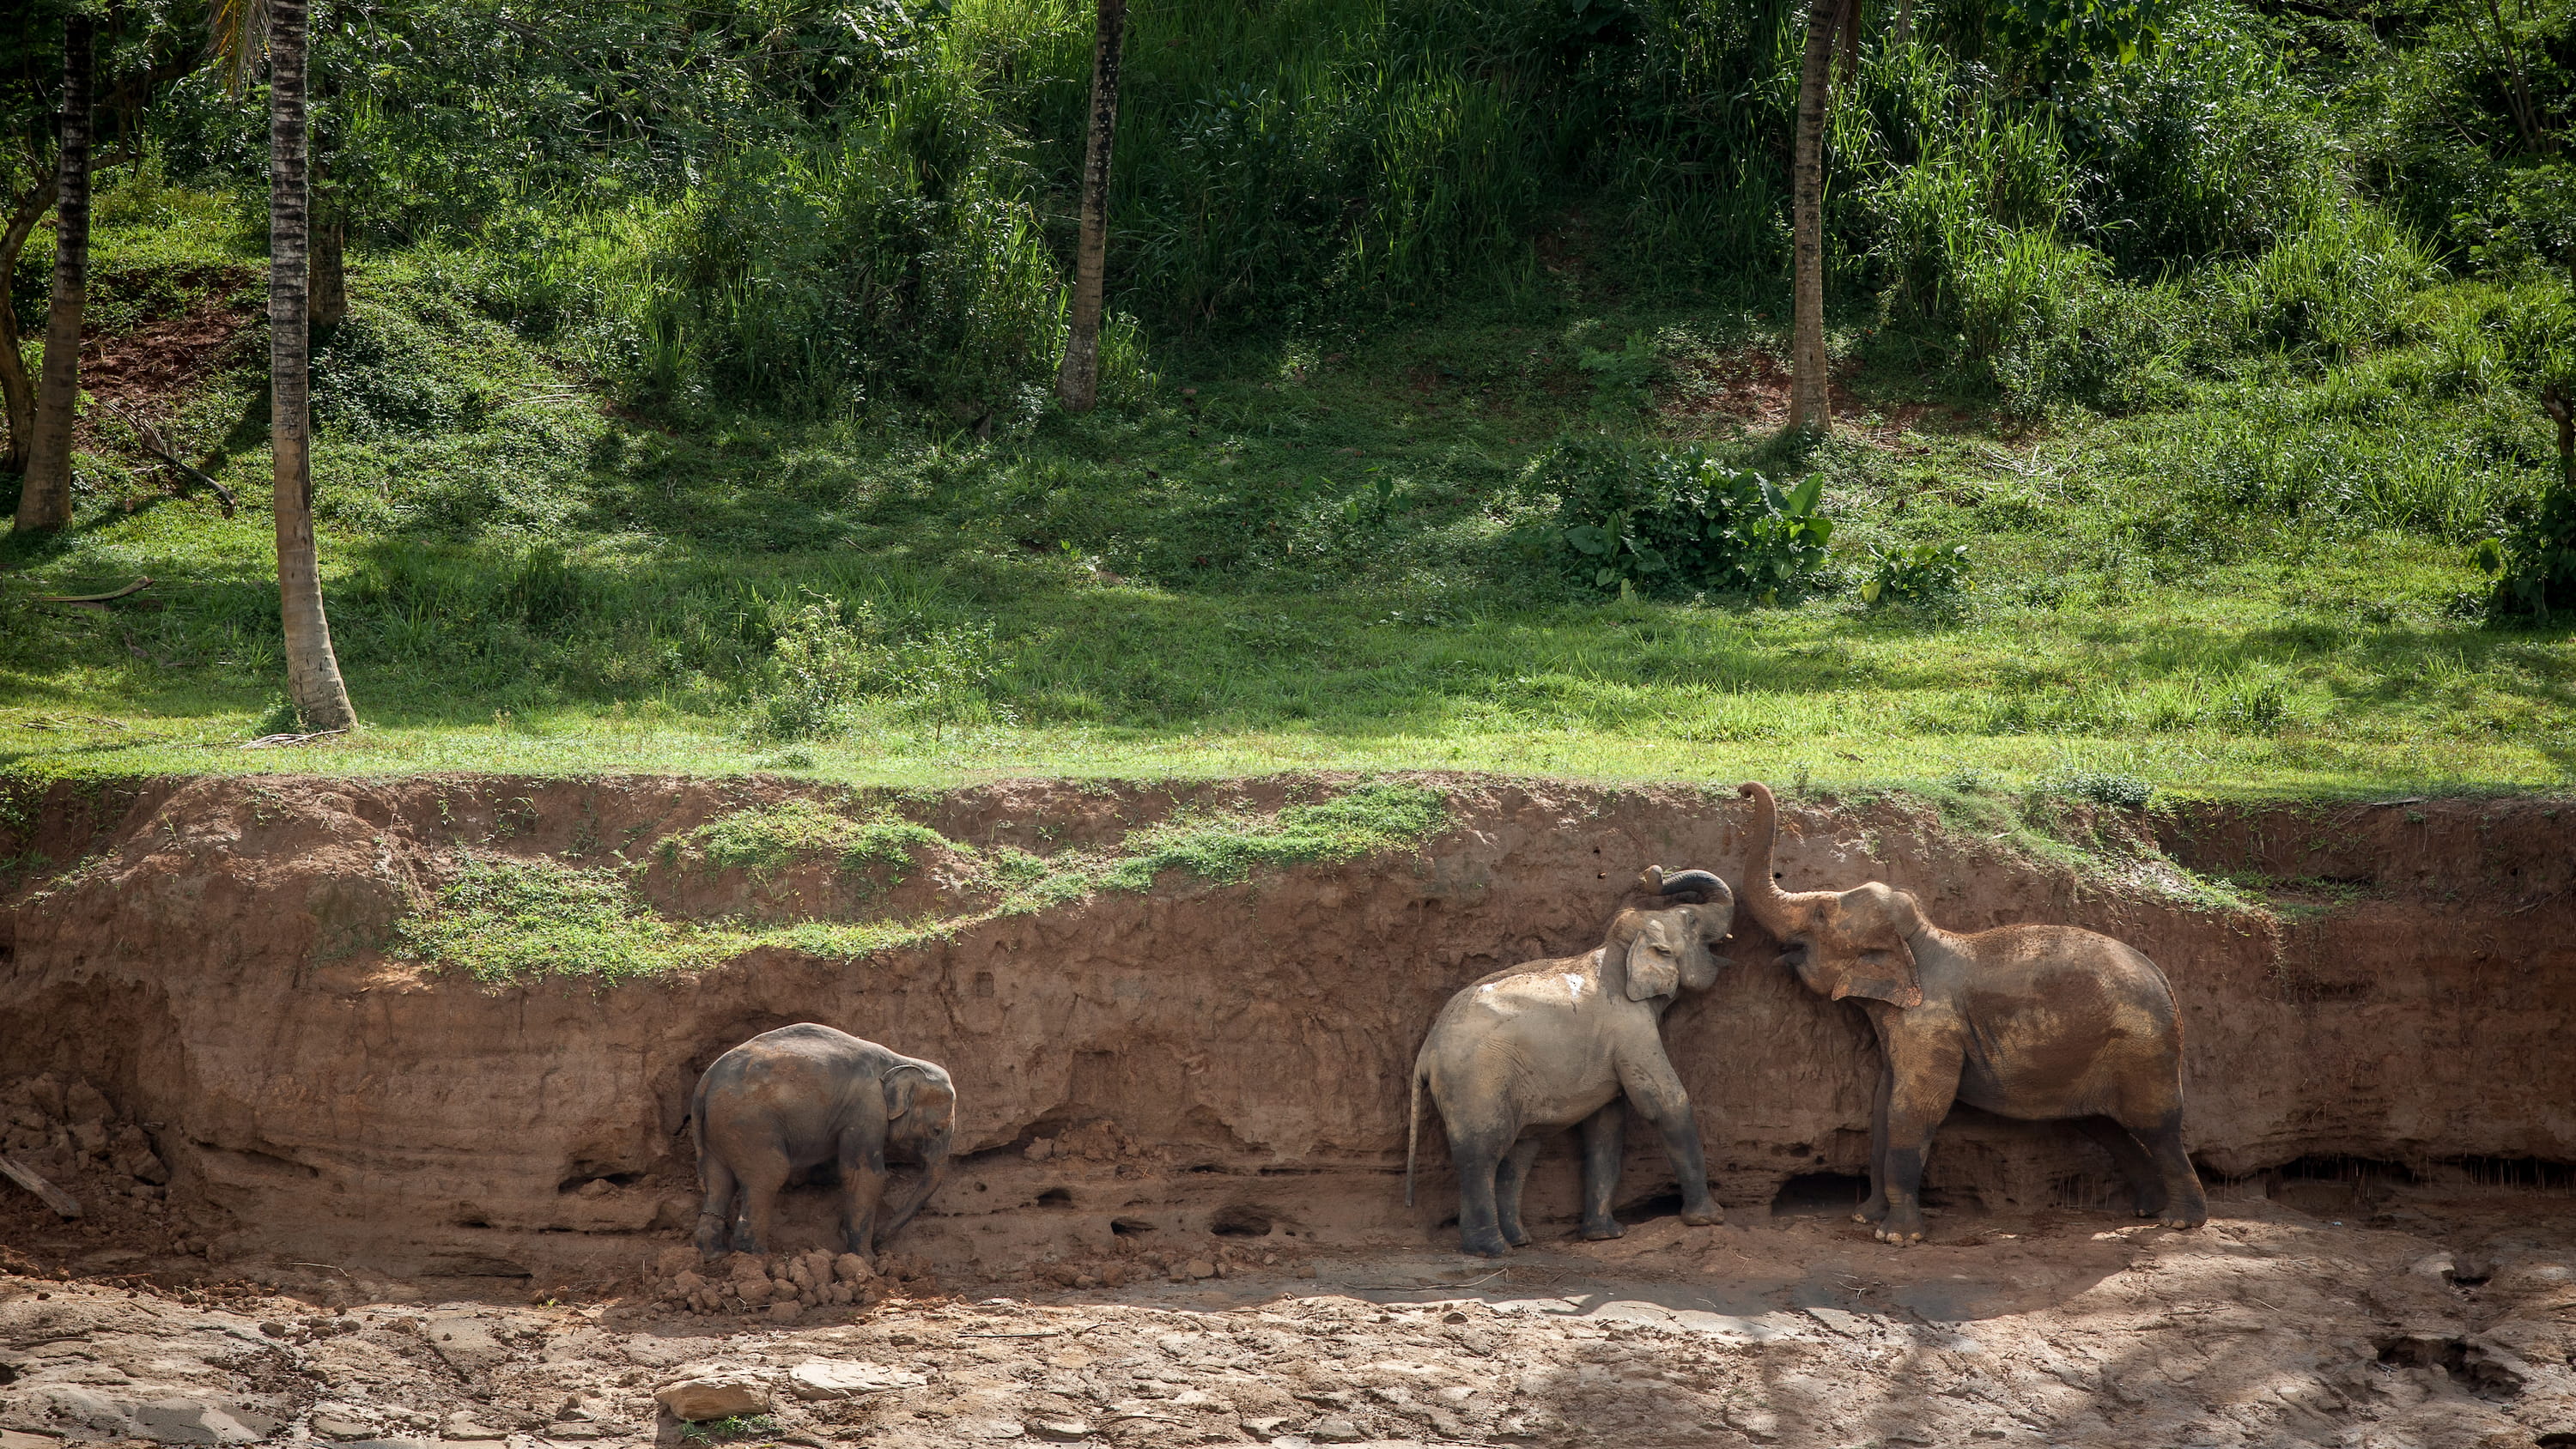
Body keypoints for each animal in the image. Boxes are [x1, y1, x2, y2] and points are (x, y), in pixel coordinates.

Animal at [691, 1023, 956, 1260]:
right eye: (937, 1131)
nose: (878, 1243)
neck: (899, 1061)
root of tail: (705, 1081)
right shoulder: (868, 1111)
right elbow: (864, 1174)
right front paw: (866, 1260)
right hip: (749, 1125)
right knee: (769, 1175)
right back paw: (758, 1257)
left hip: (719, 1128)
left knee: (719, 1181)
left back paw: (714, 1254)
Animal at [1405, 872, 1736, 1258]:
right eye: (1692, 919)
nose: (1652, 874)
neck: (1619, 950)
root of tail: (1427, 1051)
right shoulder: (1631, 1027)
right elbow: (1663, 1102)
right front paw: (1709, 1218)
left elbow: (1606, 1127)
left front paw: (1606, 1236)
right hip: (1475, 1082)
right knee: (1483, 1152)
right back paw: (1493, 1249)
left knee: (1518, 1153)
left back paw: (1518, 1240)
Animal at [1713, 780, 2208, 1244]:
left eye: (1818, 914)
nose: (1743, 789)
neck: (1922, 941)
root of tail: (2161, 975)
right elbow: (1883, 1103)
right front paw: (1864, 1218)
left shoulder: (1932, 1024)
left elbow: (1915, 1107)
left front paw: (1896, 1237)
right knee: (2105, 1126)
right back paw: (2146, 1209)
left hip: (2145, 1045)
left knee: (2157, 1125)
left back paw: (2181, 1220)